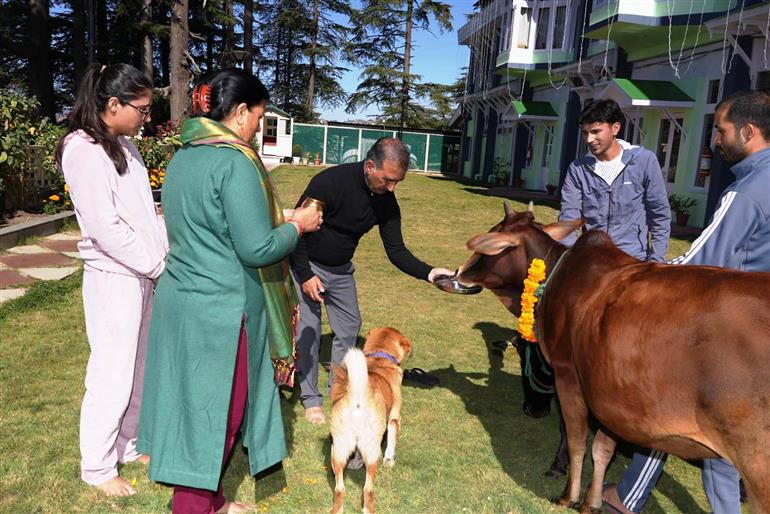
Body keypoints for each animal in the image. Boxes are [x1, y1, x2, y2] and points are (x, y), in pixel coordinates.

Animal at [328, 326, 412, 510]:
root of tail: (358, 395)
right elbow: (392, 443)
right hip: (373, 451)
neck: (380, 356)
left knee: (339, 488)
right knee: (368, 489)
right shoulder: (394, 419)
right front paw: (389, 461)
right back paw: (368, 509)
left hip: (337, 449)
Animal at [456, 206, 770, 512]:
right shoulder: (610, 393)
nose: (458, 271)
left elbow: (577, 441)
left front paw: (568, 496)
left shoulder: (568, 375)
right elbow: (602, 450)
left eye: (492, 238)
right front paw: (591, 502)